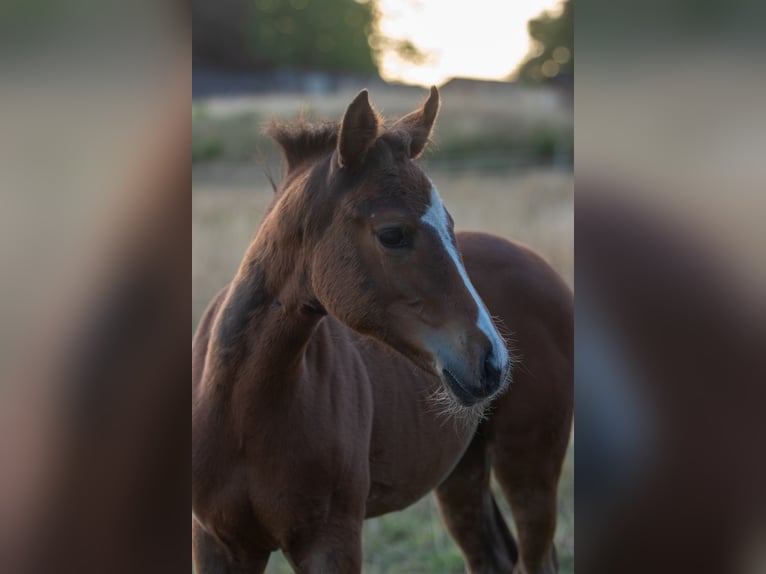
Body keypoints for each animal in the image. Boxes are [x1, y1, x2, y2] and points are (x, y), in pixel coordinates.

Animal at [192, 86, 572, 574]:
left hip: (530, 467)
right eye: (392, 234)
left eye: (450, 226)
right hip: (462, 471)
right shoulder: (218, 543)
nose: (493, 362)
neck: (244, 412)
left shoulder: (331, 541)